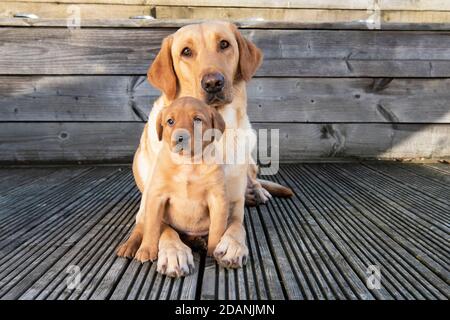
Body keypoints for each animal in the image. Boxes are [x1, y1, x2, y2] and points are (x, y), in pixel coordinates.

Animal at [117, 21, 292, 276]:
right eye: (186, 52)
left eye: (224, 44)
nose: (213, 82)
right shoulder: (151, 203)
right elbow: (163, 228)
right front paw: (174, 251)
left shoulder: (232, 206)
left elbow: (236, 227)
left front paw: (232, 245)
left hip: (250, 162)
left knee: (254, 180)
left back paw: (258, 192)